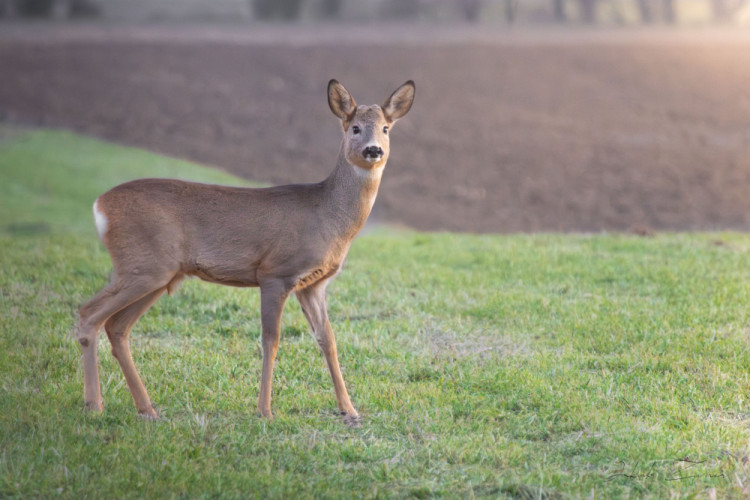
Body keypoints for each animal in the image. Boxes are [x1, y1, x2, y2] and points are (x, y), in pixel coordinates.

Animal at [75, 80, 418, 424]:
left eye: (386, 128)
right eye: (355, 128)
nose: (373, 150)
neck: (328, 216)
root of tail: (99, 205)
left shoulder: (314, 284)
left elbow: (328, 340)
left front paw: (349, 409)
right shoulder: (275, 272)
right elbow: (271, 340)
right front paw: (265, 410)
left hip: (159, 274)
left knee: (117, 327)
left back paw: (146, 409)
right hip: (143, 266)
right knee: (88, 314)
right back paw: (94, 406)